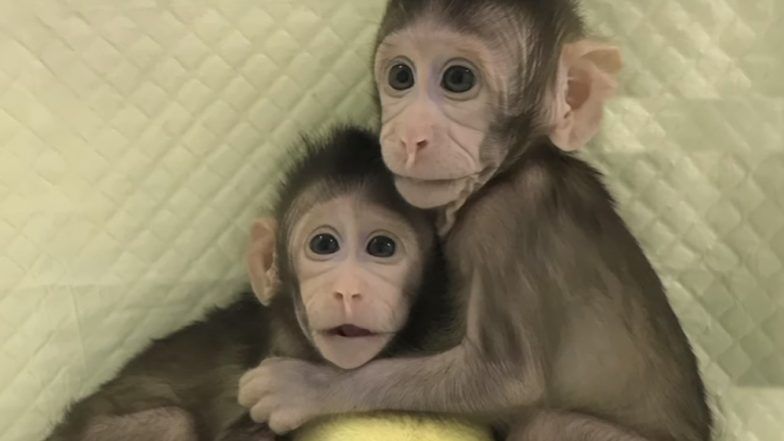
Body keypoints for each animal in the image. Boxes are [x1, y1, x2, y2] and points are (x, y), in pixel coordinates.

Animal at [236, 1, 713, 441]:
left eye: (458, 80)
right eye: (401, 76)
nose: (410, 137)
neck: (510, 170)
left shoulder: (503, 221)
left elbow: (508, 378)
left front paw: (306, 387)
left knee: (548, 422)